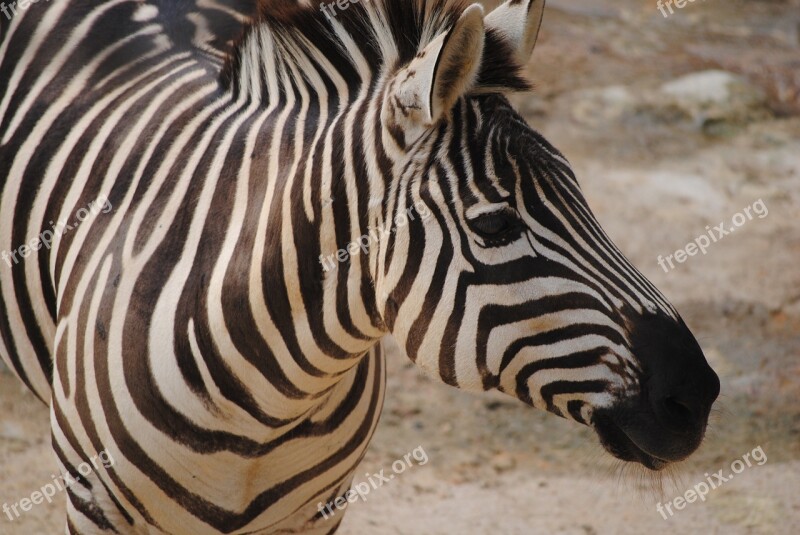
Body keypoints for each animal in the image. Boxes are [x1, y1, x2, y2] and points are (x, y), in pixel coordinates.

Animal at [0, 0, 720, 532]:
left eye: (582, 194)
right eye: (495, 225)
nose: (698, 394)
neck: (264, 408)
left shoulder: (318, 513)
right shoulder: (95, 506)